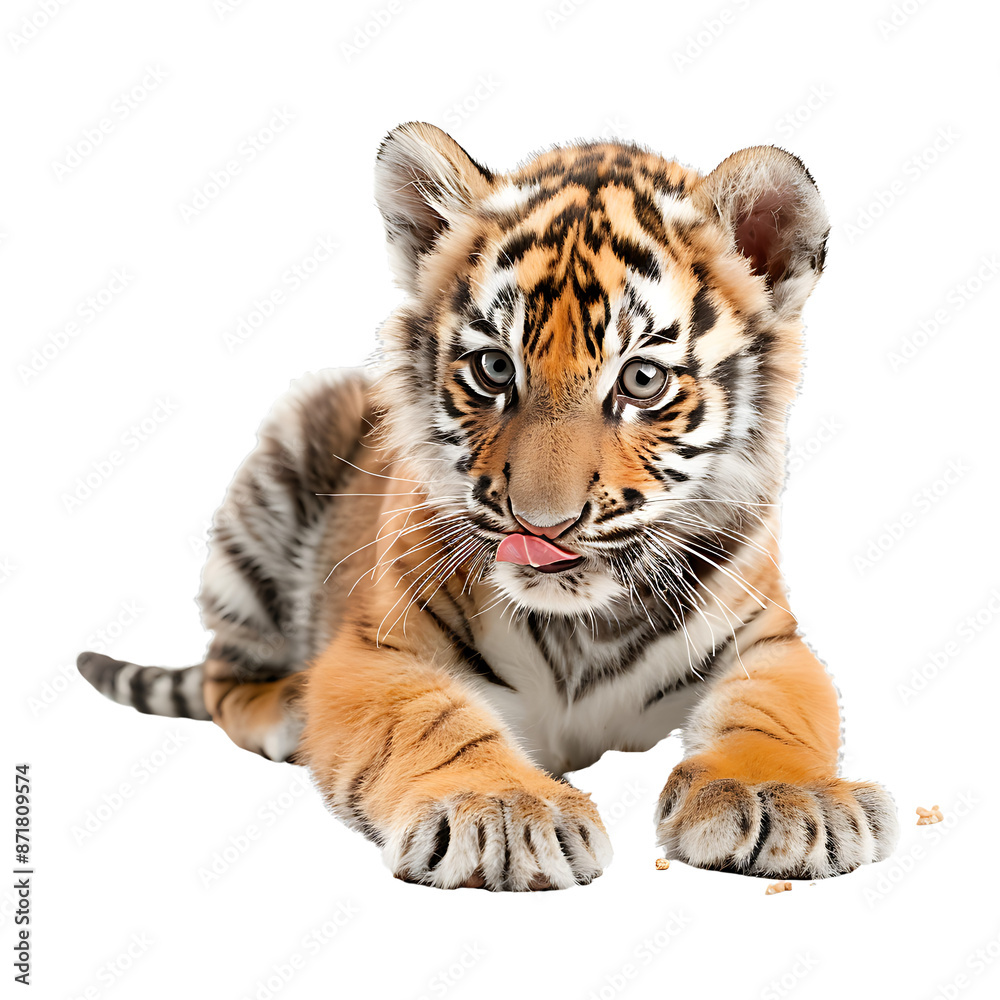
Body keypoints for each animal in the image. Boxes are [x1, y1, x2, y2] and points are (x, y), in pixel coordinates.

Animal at [78, 122, 899, 891]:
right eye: (494, 369)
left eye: (641, 380)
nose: (542, 525)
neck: (582, 626)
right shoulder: (379, 648)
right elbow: (429, 722)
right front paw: (501, 812)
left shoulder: (769, 638)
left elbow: (776, 709)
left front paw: (781, 799)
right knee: (226, 675)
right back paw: (286, 710)